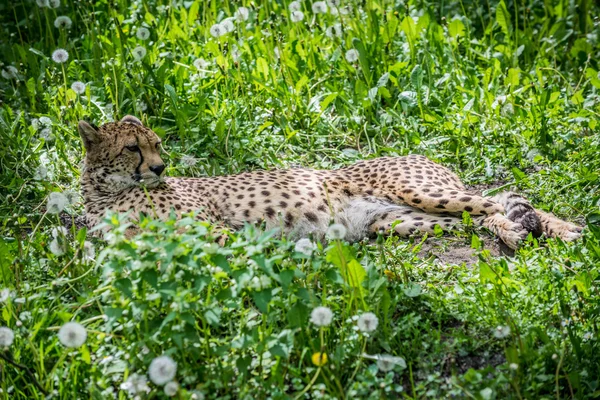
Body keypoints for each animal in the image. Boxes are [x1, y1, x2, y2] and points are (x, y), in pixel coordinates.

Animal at [77, 114, 584, 248]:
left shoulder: (210, 226)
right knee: (485, 215)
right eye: (132, 148)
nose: (160, 168)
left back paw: (564, 230)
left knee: (500, 199)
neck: (105, 193)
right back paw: (517, 233)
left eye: (157, 145)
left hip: (419, 190)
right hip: (398, 220)